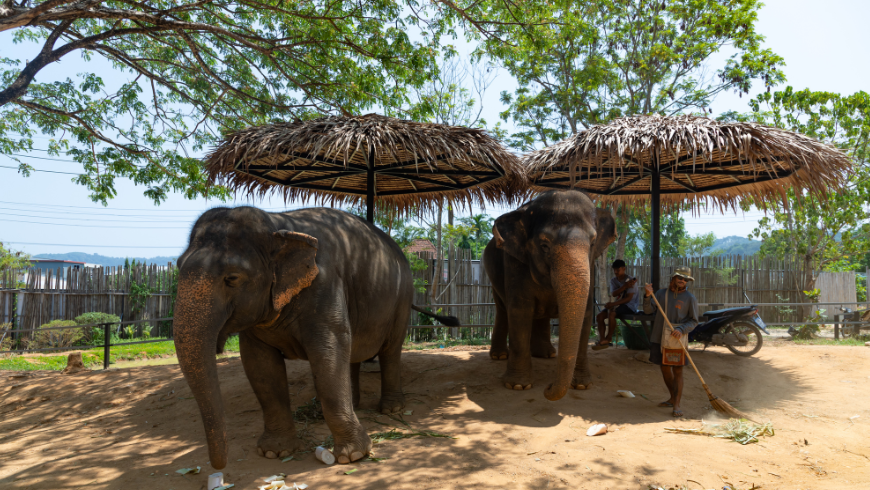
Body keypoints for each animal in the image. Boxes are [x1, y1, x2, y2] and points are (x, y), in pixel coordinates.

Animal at [173, 206, 456, 469]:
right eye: (177, 266)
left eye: (231, 278)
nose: (219, 465)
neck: (278, 225)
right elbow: (261, 368)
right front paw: (274, 452)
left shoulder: (325, 284)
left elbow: (328, 353)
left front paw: (353, 456)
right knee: (353, 351)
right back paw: (351, 405)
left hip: (402, 298)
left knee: (390, 350)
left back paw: (391, 409)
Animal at [482, 189, 617, 400]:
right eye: (544, 245)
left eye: (593, 243)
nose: (547, 387)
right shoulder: (515, 262)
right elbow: (520, 311)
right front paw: (517, 386)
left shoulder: (591, 267)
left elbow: (586, 315)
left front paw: (582, 385)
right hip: (492, 276)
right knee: (503, 309)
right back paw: (500, 356)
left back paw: (546, 354)